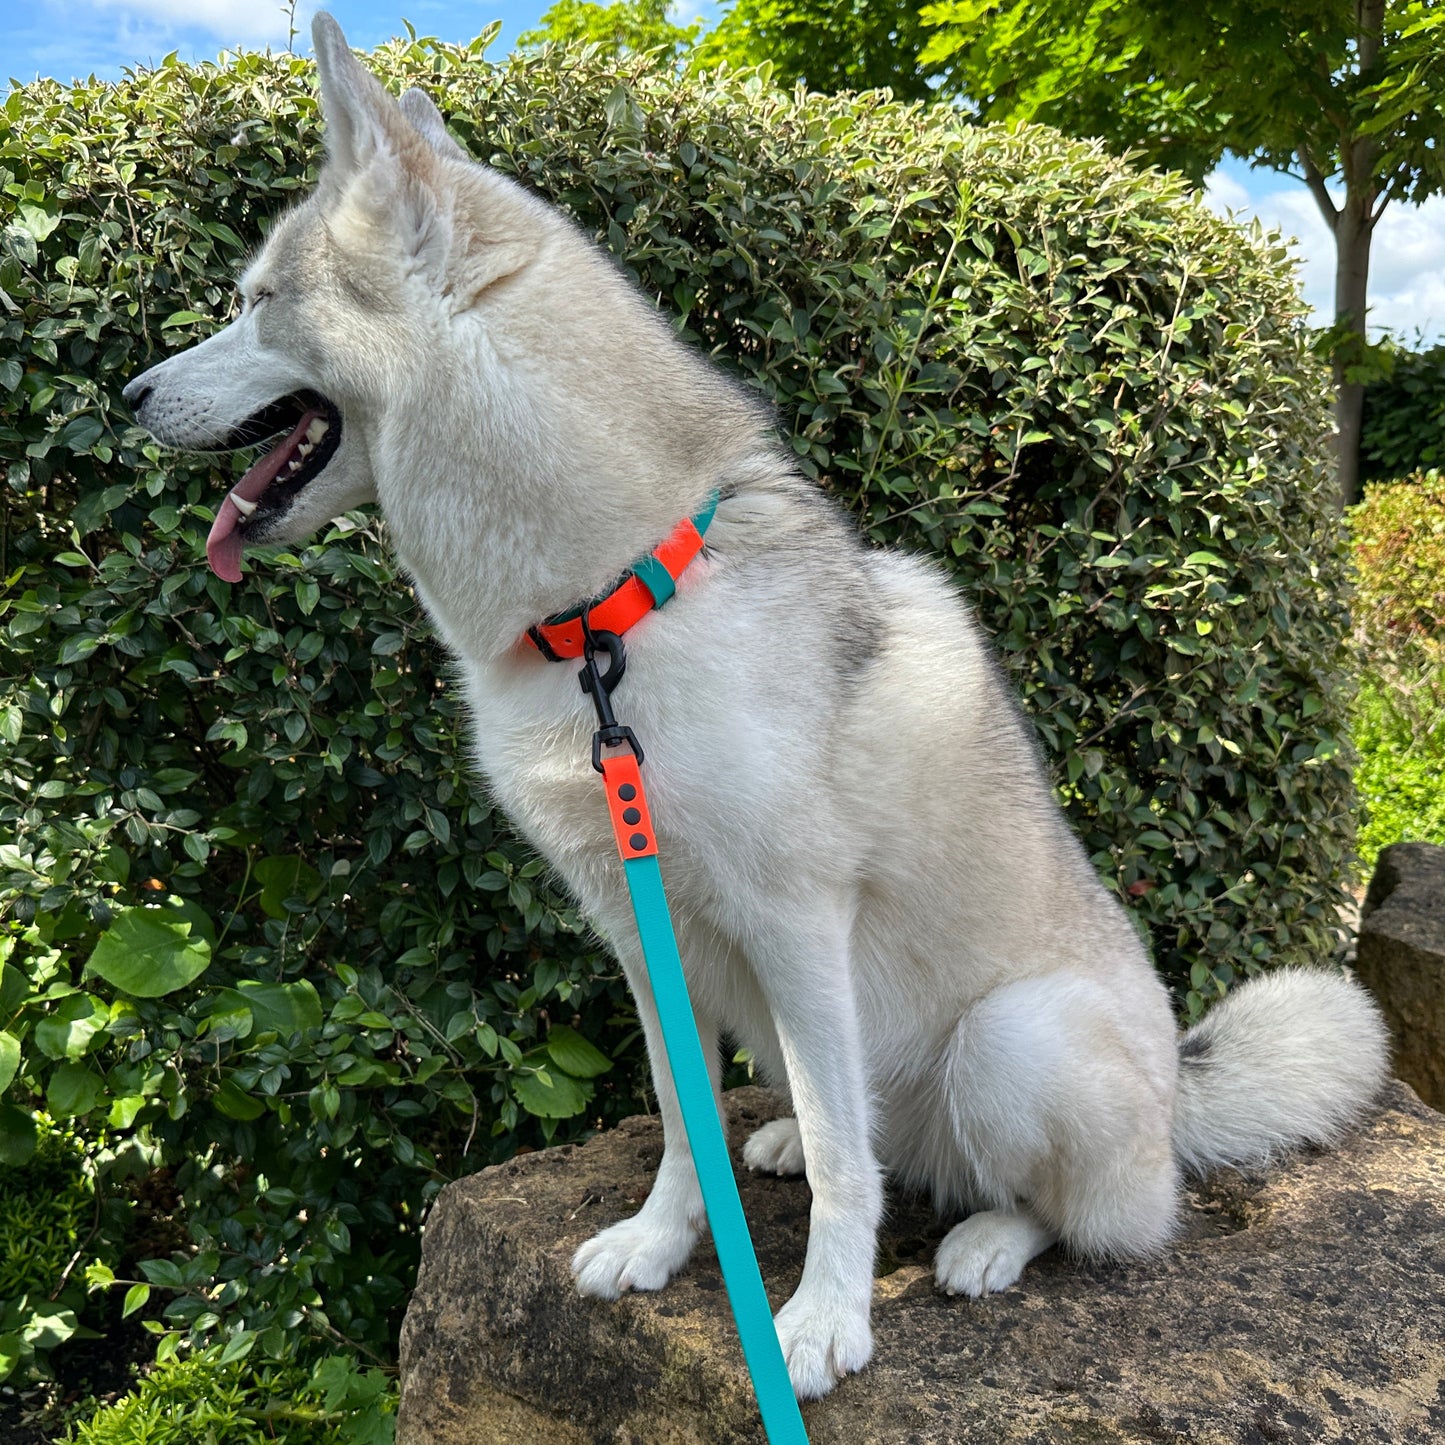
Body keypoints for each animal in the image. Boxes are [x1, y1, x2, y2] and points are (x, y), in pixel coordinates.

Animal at [124, 16, 1387, 1398]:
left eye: (254, 303)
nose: (127, 397)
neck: (607, 616)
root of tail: (1176, 1102)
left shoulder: (793, 923)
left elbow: (845, 1163)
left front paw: (823, 1317)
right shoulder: (638, 935)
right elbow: (682, 1119)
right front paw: (665, 1239)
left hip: (1011, 1043)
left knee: (1073, 1208)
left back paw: (989, 1240)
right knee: (877, 1142)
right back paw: (785, 1141)